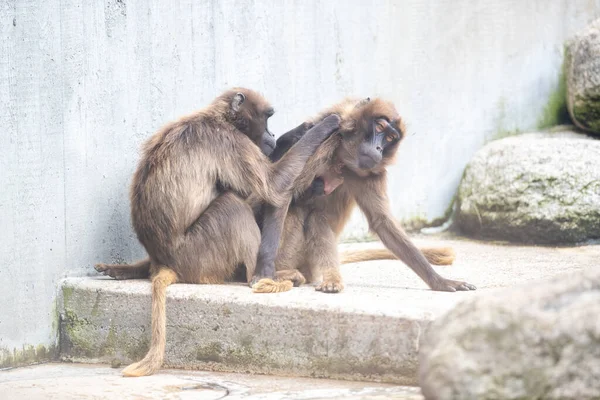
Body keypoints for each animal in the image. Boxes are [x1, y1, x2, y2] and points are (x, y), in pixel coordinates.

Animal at [95, 86, 340, 376]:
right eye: (267, 118)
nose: (271, 134)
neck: (220, 118)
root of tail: (164, 261)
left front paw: (295, 133)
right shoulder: (228, 142)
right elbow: (273, 185)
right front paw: (325, 126)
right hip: (199, 253)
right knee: (233, 204)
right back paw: (260, 276)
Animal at [251, 95, 476, 292]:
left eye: (390, 138)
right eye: (380, 127)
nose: (378, 148)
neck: (343, 158)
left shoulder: (372, 174)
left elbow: (382, 222)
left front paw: (440, 281)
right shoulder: (326, 140)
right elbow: (282, 192)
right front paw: (264, 270)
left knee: (315, 216)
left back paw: (330, 278)